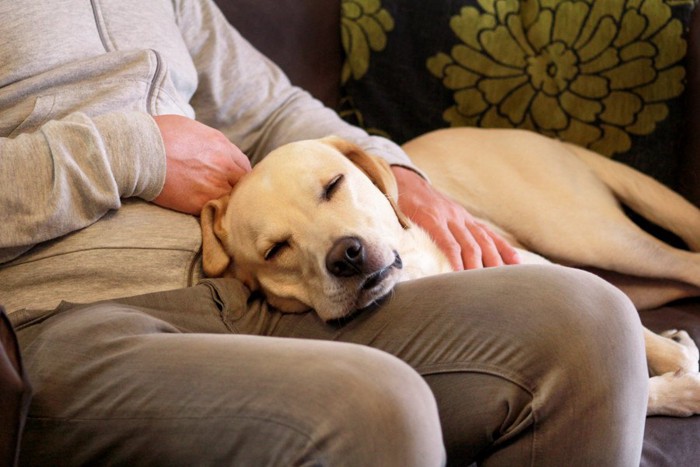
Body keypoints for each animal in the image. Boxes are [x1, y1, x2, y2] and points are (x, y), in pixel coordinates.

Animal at [200, 131, 700, 416]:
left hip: (586, 237)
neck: (414, 270)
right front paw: (681, 386)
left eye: (333, 185)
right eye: (275, 249)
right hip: (621, 271)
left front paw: (682, 368)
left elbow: (652, 349)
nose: (347, 256)